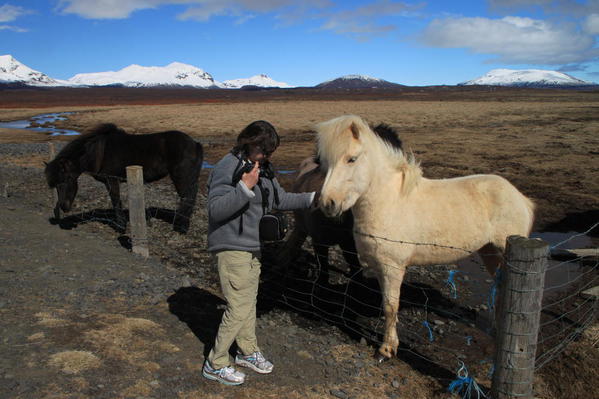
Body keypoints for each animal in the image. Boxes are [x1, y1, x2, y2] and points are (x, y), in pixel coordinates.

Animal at [44, 123, 204, 233]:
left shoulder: (112, 180)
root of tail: (194, 143)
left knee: (187, 198)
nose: (64, 207)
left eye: (65, 180)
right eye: (55, 185)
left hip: (181, 178)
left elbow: (116, 201)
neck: (98, 152)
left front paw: (121, 226)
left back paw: (180, 228)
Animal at [316, 115, 536, 360]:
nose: (327, 203)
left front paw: (387, 349)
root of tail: (519, 196)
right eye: (324, 162)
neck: (389, 201)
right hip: (490, 253)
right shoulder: (380, 266)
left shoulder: (393, 267)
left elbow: (391, 306)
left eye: (351, 159)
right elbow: (385, 302)